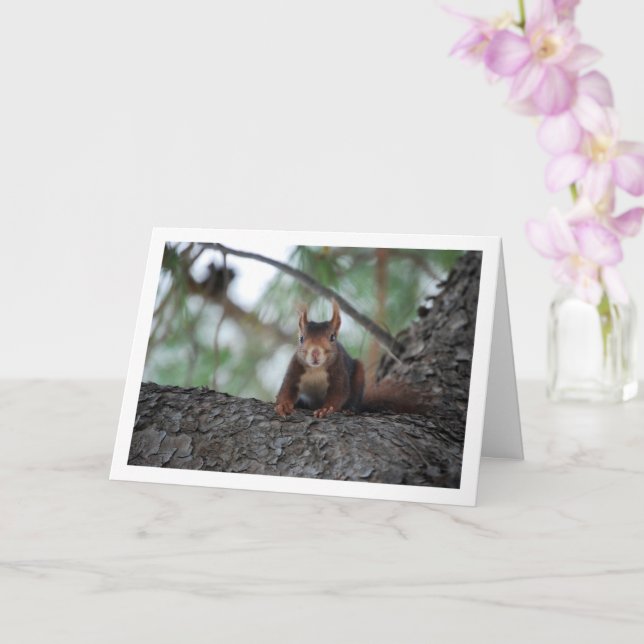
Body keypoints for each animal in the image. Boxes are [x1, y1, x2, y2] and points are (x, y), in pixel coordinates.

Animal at [274, 300, 429, 418]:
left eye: (332, 337)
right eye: (301, 338)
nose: (315, 353)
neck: (316, 370)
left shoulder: (339, 372)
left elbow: (339, 393)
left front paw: (326, 409)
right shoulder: (295, 369)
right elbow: (286, 388)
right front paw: (283, 405)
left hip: (358, 376)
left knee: (354, 400)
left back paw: (349, 409)